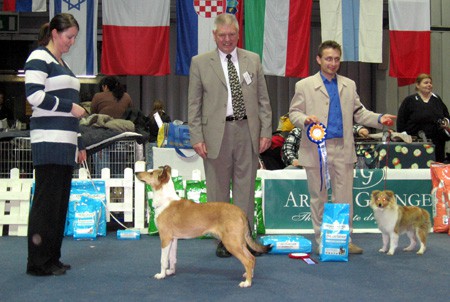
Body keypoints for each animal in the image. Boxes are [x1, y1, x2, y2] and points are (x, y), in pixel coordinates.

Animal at [136, 165, 270, 288]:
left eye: (151, 173)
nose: (136, 173)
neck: (166, 201)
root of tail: (241, 212)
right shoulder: (173, 239)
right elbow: (172, 258)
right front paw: (170, 272)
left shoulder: (165, 238)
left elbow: (163, 259)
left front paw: (161, 275)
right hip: (239, 241)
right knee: (252, 258)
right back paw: (249, 275)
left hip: (231, 242)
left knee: (247, 261)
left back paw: (247, 282)